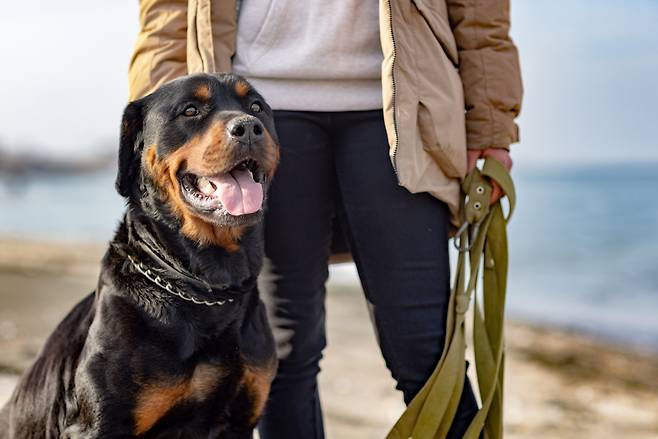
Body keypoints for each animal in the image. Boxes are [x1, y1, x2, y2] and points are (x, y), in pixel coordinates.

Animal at [0, 74, 280, 438]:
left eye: (257, 107)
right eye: (190, 110)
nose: (248, 127)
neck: (206, 289)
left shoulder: (239, 419)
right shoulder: (97, 425)